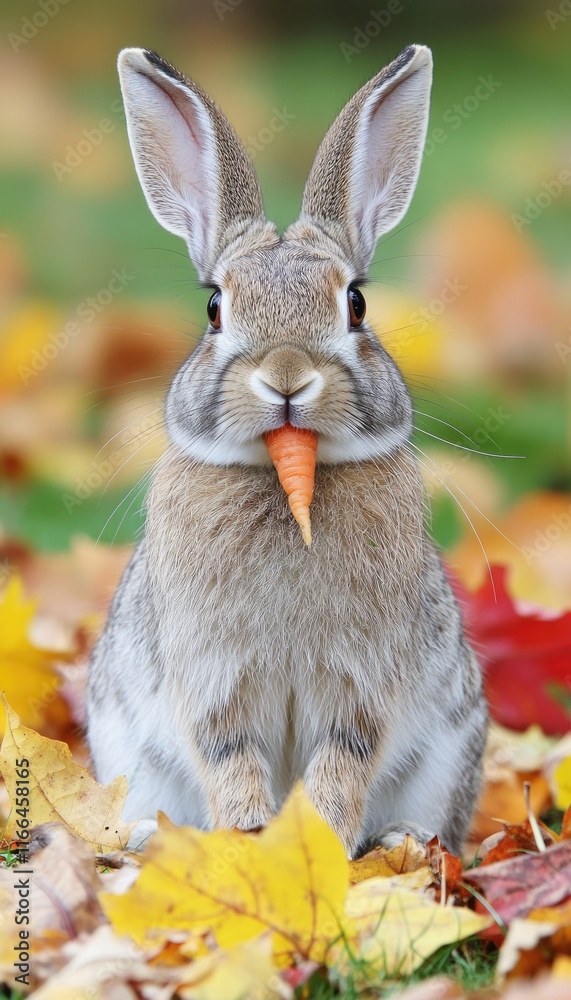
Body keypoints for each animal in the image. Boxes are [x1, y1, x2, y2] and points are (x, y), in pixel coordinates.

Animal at [87, 43, 487, 859]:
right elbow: (231, 759)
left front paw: (322, 848)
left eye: (356, 303)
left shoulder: (359, 689)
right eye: (214, 307)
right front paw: (249, 843)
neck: (283, 481)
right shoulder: (214, 688)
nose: (286, 378)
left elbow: (341, 763)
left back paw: (401, 844)